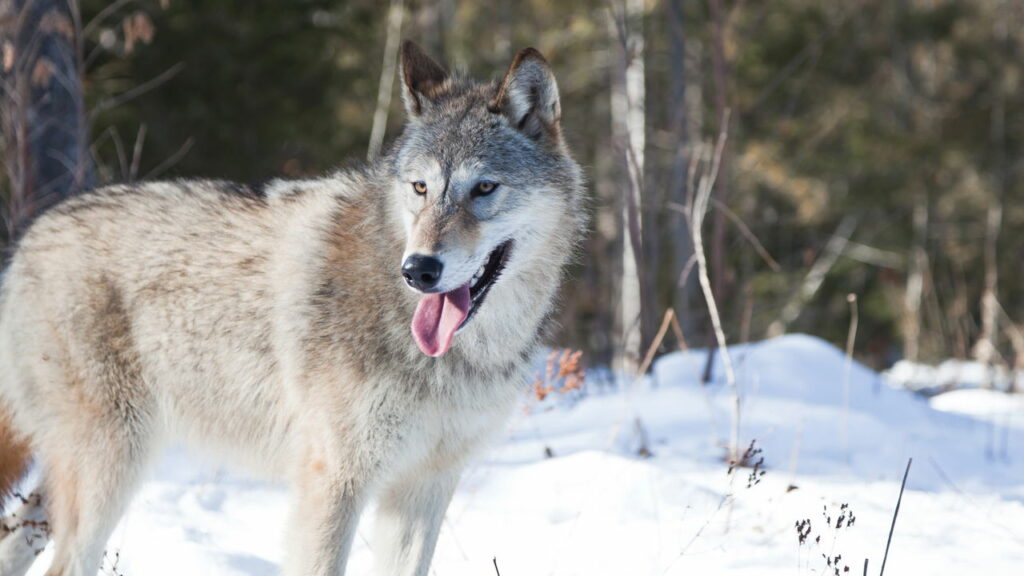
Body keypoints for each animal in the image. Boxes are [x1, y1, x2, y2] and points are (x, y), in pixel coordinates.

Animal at [0, 41, 584, 576]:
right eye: (420, 187)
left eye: (484, 188)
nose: (418, 269)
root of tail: (28, 243)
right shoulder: (334, 482)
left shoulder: (425, 487)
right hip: (110, 472)